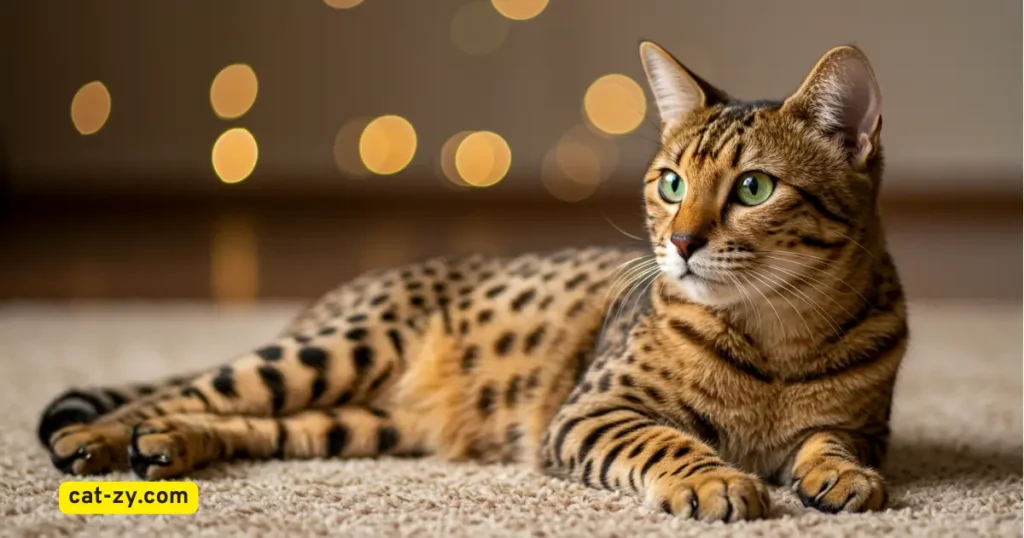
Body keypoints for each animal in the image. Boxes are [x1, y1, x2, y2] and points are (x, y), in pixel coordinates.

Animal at [37, 41, 906, 523]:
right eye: (670, 184)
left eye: (753, 189)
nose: (681, 242)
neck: (777, 338)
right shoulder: (594, 410)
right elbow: (667, 440)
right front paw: (716, 479)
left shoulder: (866, 423)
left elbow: (834, 439)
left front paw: (838, 474)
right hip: (337, 352)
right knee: (188, 389)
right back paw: (99, 439)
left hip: (361, 423)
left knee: (246, 421)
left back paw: (167, 444)